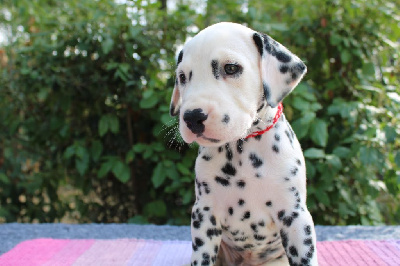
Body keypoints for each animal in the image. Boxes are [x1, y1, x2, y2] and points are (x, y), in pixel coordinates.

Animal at [170, 22, 318, 266]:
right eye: (182, 77)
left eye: (231, 68)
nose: (192, 117)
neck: (242, 148)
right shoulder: (204, 213)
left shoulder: (295, 215)